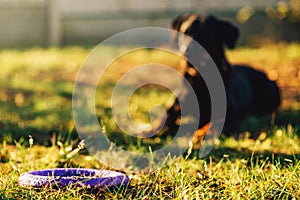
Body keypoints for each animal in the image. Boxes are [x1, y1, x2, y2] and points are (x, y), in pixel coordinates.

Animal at [148, 13, 282, 145]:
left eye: (206, 34)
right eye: (184, 33)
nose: (185, 52)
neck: (200, 80)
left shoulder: (231, 114)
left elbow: (214, 123)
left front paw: (200, 133)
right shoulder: (175, 106)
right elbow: (162, 118)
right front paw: (150, 129)